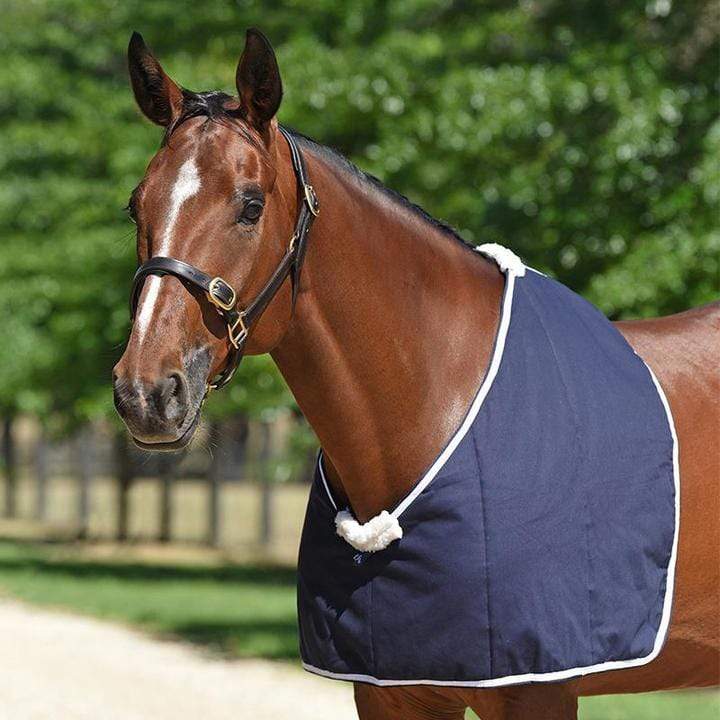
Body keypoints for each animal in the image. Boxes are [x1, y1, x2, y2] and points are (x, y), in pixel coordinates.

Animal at [113, 29, 719, 720]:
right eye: (136, 206)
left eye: (250, 206)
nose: (146, 392)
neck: (439, 400)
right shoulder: (393, 691)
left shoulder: (537, 691)